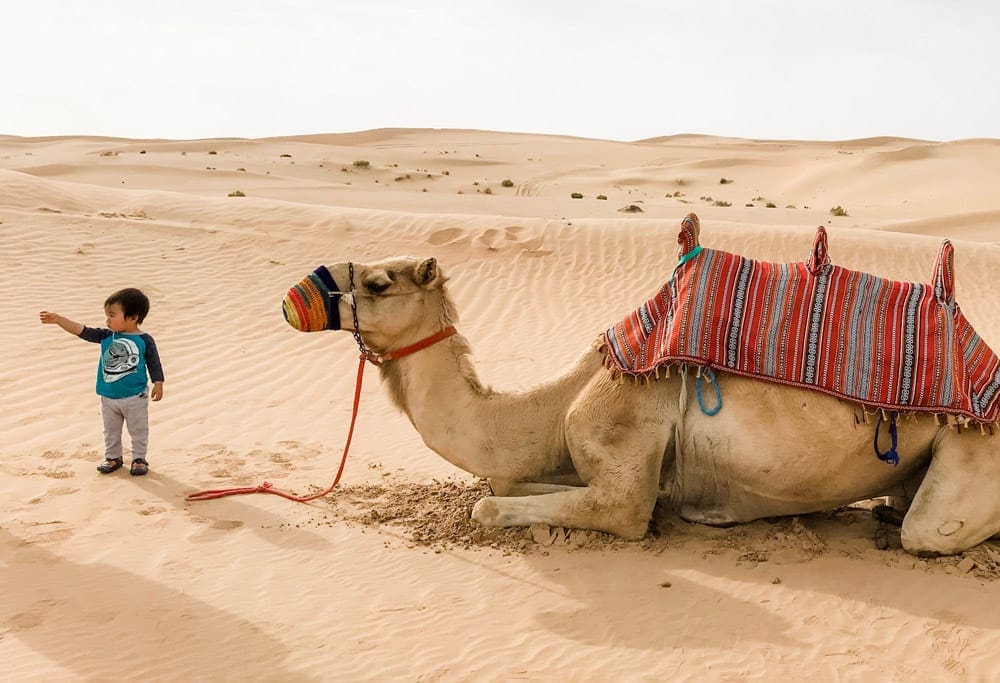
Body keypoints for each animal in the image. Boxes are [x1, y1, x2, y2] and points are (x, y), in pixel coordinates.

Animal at [282, 216, 1000, 560]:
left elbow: (499, 505)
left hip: (974, 455)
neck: (553, 406)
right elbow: (505, 486)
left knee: (929, 531)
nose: (296, 294)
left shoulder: (617, 448)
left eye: (380, 282)